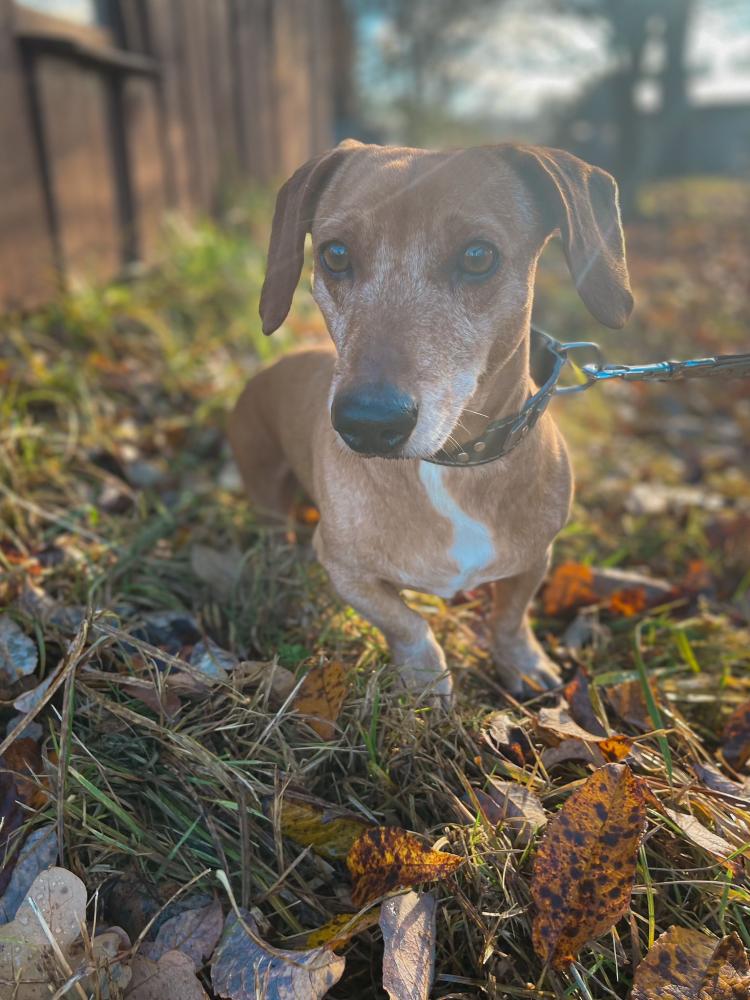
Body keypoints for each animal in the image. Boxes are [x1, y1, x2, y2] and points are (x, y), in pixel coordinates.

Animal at [229, 140, 632, 702]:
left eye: (478, 256)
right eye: (335, 254)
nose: (367, 424)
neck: (448, 465)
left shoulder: (536, 558)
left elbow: (509, 617)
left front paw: (523, 661)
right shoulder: (343, 567)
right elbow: (407, 623)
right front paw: (425, 678)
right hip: (265, 488)